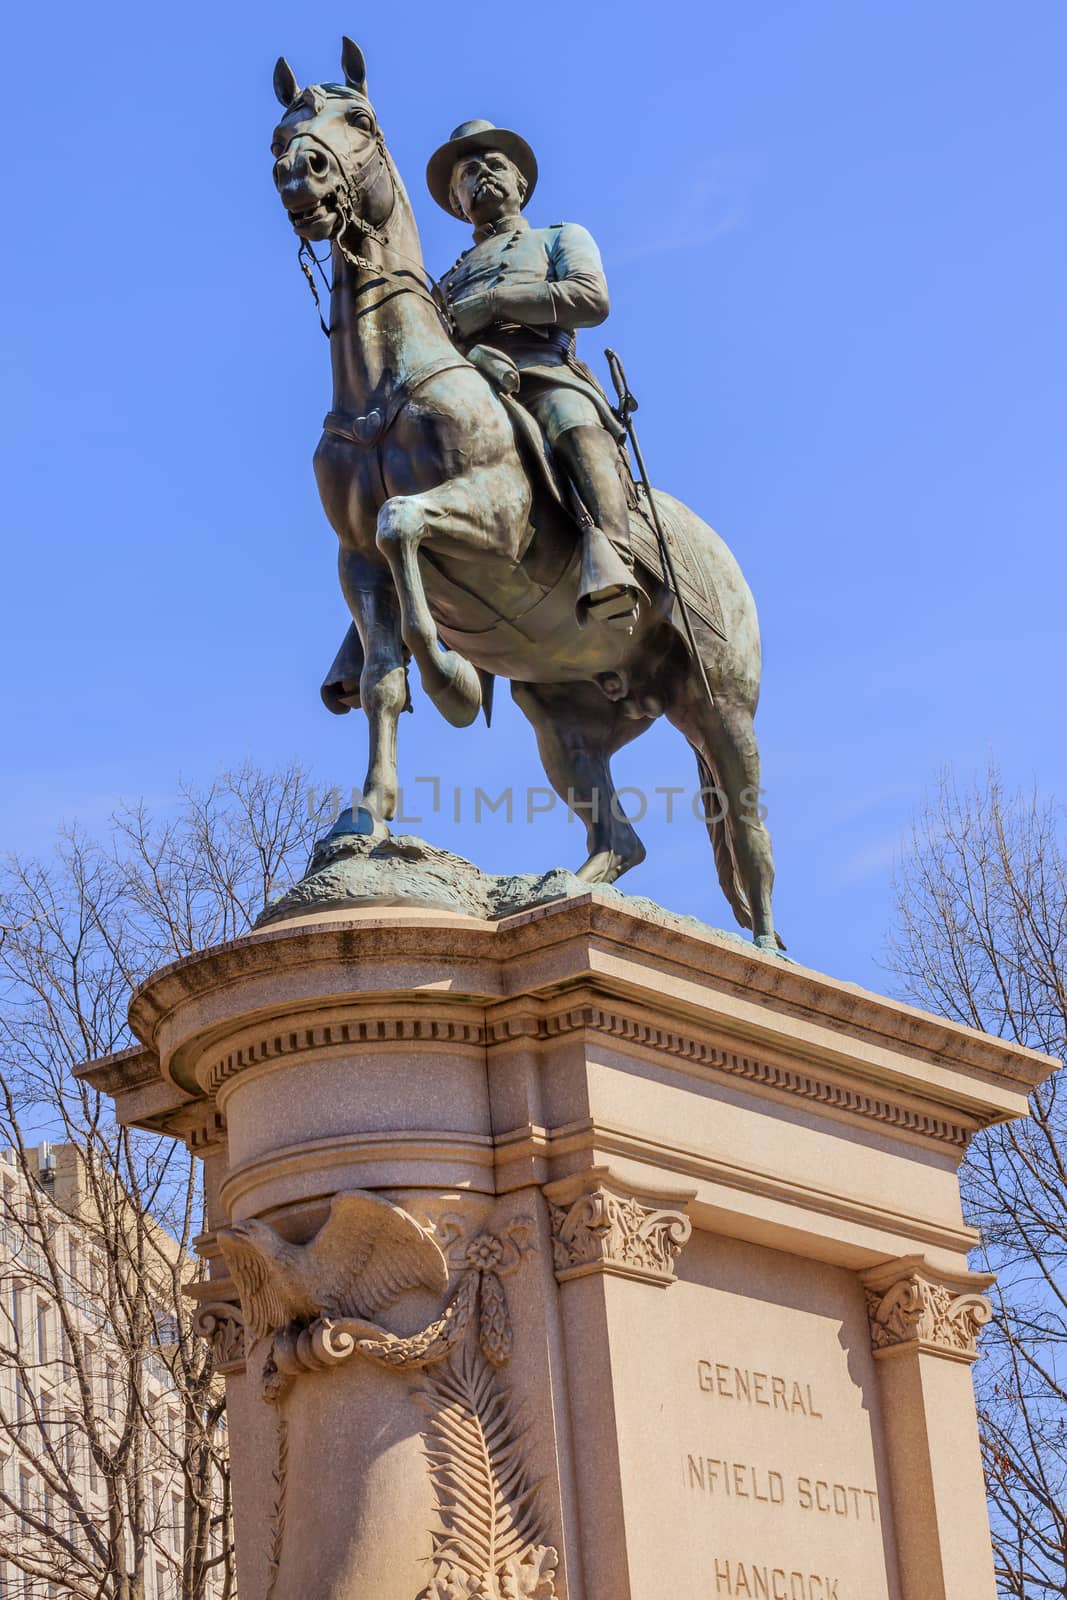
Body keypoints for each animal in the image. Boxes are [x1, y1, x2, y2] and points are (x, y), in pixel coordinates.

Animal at [271, 37, 780, 940]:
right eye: (280, 131)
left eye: (358, 119)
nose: (299, 173)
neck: (383, 390)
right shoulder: (354, 562)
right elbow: (379, 677)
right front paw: (366, 815)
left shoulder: (495, 520)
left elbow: (404, 521)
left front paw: (453, 678)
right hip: (565, 721)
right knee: (620, 836)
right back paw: (563, 889)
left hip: (721, 707)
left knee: (747, 831)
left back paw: (766, 952)